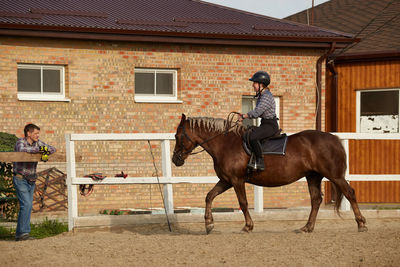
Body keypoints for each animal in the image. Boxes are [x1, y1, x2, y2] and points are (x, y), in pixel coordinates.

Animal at [170, 115, 368, 234]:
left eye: (177, 136)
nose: (175, 159)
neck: (226, 144)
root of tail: (333, 138)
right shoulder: (226, 181)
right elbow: (209, 196)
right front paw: (209, 224)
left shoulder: (236, 180)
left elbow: (243, 203)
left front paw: (248, 226)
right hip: (313, 176)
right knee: (316, 200)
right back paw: (307, 227)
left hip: (335, 176)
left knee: (349, 193)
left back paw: (361, 224)